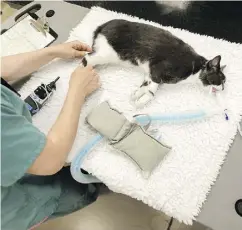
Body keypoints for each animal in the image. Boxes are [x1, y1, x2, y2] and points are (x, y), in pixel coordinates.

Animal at [82, 18, 226, 107]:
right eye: (222, 80)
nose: (224, 89)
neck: (195, 68)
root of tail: (102, 26)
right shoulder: (158, 69)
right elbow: (153, 89)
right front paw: (142, 101)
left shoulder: (150, 73)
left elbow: (145, 85)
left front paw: (136, 95)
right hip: (109, 54)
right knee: (87, 58)